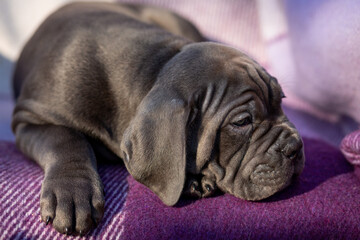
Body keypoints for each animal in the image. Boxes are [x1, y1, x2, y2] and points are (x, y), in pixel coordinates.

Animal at [11, 0, 306, 235]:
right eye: (242, 122)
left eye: (282, 100)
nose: (295, 148)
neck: (154, 66)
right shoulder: (28, 118)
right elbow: (66, 140)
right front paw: (71, 194)